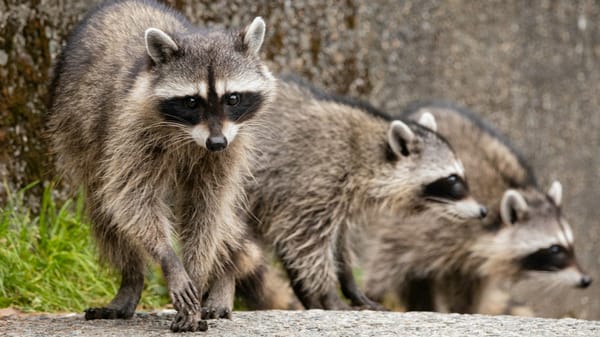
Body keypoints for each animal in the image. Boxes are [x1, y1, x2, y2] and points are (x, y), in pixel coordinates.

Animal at [48, 0, 274, 330]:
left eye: (232, 98)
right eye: (191, 102)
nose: (216, 143)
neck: (190, 137)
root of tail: (121, 4)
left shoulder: (231, 145)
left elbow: (208, 208)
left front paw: (199, 271)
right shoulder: (130, 128)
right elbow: (130, 198)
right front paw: (169, 258)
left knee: (225, 218)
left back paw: (224, 273)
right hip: (78, 130)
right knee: (103, 205)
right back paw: (131, 279)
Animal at [246, 77, 490, 308]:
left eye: (461, 176)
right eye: (452, 179)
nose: (483, 211)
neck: (366, 155)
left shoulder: (333, 198)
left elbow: (336, 243)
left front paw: (347, 285)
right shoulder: (312, 182)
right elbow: (306, 244)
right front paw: (327, 293)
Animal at [360, 101, 592, 314]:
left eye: (570, 244)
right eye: (555, 249)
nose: (586, 280)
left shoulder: (472, 262)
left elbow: (469, 291)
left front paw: (464, 311)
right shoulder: (428, 228)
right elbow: (388, 263)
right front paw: (370, 294)